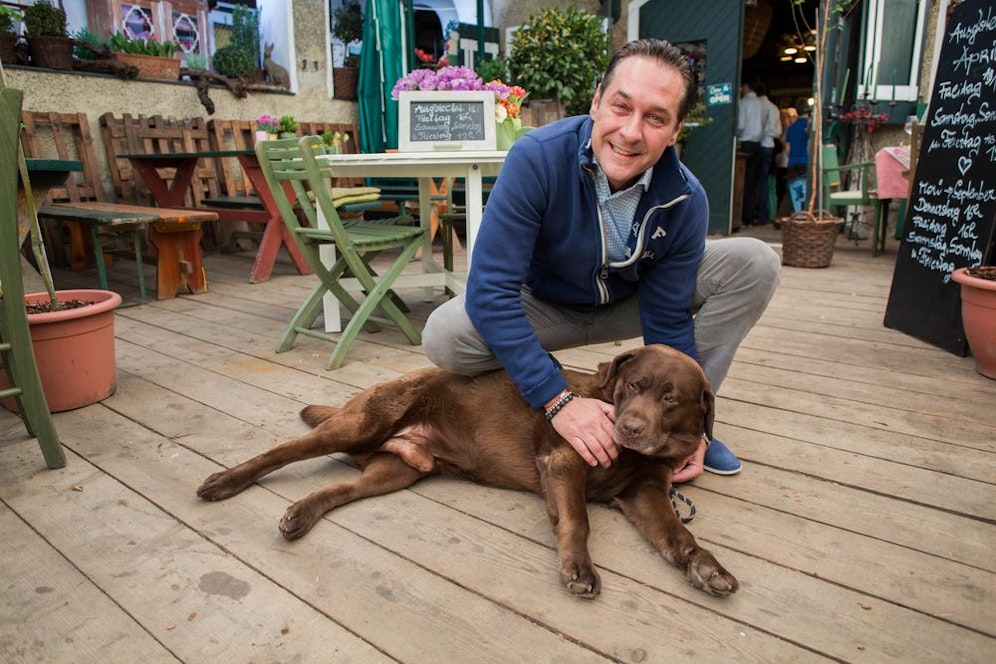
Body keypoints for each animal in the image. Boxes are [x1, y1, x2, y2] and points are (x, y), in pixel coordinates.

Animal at [197, 344, 738, 598]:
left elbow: (678, 536)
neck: (635, 455)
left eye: (670, 399)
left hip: (395, 472)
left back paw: (301, 514)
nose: (629, 427)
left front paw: (706, 567)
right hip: (357, 425)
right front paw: (579, 570)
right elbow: (577, 521)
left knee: (342, 488)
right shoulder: (564, 462)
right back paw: (225, 481)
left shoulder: (646, 492)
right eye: (631, 386)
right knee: (283, 450)